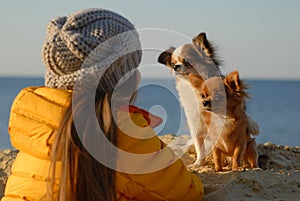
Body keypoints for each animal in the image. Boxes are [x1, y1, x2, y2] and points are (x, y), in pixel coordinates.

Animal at [158, 32, 258, 166]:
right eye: (173, 64)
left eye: (186, 61)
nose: (175, 67)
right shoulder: (195, 123)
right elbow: (199, 146)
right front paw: (198, 163)